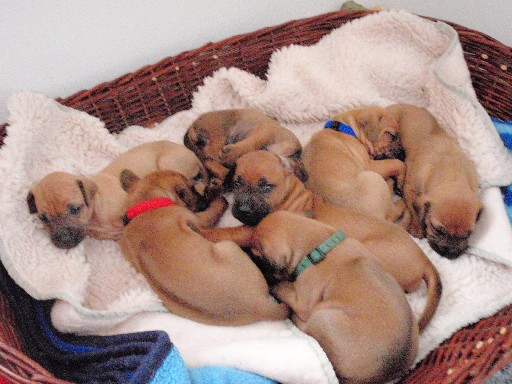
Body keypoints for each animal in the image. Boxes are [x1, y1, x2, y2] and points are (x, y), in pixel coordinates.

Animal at [117, 170, 290, 326]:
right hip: (227, 246)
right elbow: (215, 210)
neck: (144, 207)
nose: (202, 197)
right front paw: (218, 198)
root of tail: (261, 307)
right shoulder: (199, 219)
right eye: (192, 190)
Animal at [199, 210, 416, 384]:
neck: (319, 243)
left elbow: (282, 287)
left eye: (259, 256)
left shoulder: (301, 298)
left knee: (308, 328)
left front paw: (273, 283)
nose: (247, 254)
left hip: (323, 316)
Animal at [370, 103, 482, 258]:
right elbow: (415, 211)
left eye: (468, 234)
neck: (451, 172)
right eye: (437, 229)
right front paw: (417, 228)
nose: (450, 256)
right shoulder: (410, 189)